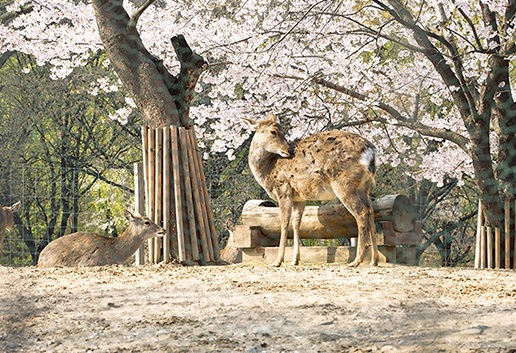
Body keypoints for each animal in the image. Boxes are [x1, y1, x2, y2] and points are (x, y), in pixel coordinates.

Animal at [242, 113, 378, 266]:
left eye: (282, 131)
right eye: (273, 131)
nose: (288, 150)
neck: (268, 170)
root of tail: (371, 153)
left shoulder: (283, 189)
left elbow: (284, 222)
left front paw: (278, 261)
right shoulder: (299, 197)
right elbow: (296, 223)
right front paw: (295, 260)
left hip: (344, 184)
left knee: (361, 212)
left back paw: (357, 260)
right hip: (364, 187)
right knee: (370, 210)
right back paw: (374, 260)